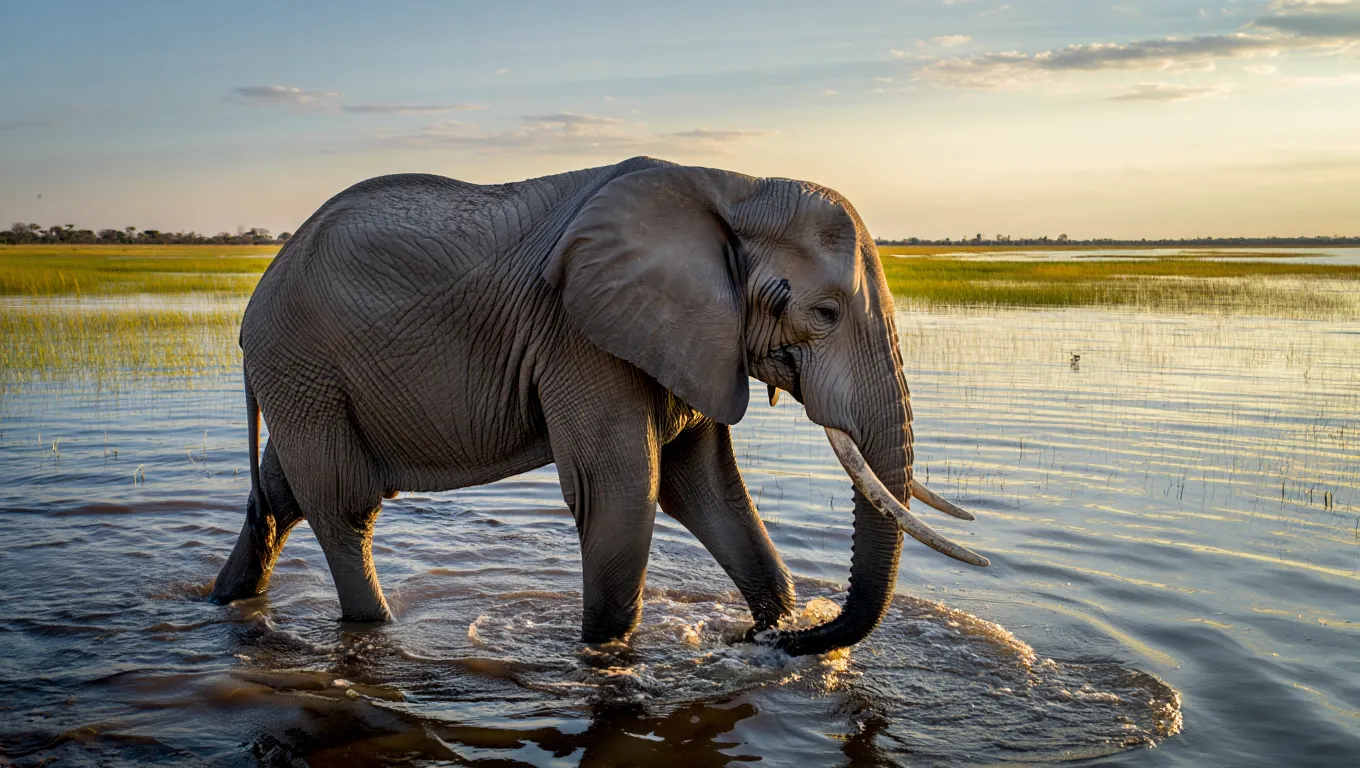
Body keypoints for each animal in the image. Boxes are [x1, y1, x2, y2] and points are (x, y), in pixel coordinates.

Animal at [209, 155, 988, 656]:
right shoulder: (580, 336)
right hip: (302, 362)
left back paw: (223, 602)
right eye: (825, 314)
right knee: (345, 505)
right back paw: (377, 632)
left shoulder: (688, 337)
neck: (734, 187)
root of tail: (256, 303)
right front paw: (609, 655)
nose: (785, 639)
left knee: (282, 494)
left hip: (304, 379)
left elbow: (706, 490)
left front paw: (772, 628)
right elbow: (622, 491)